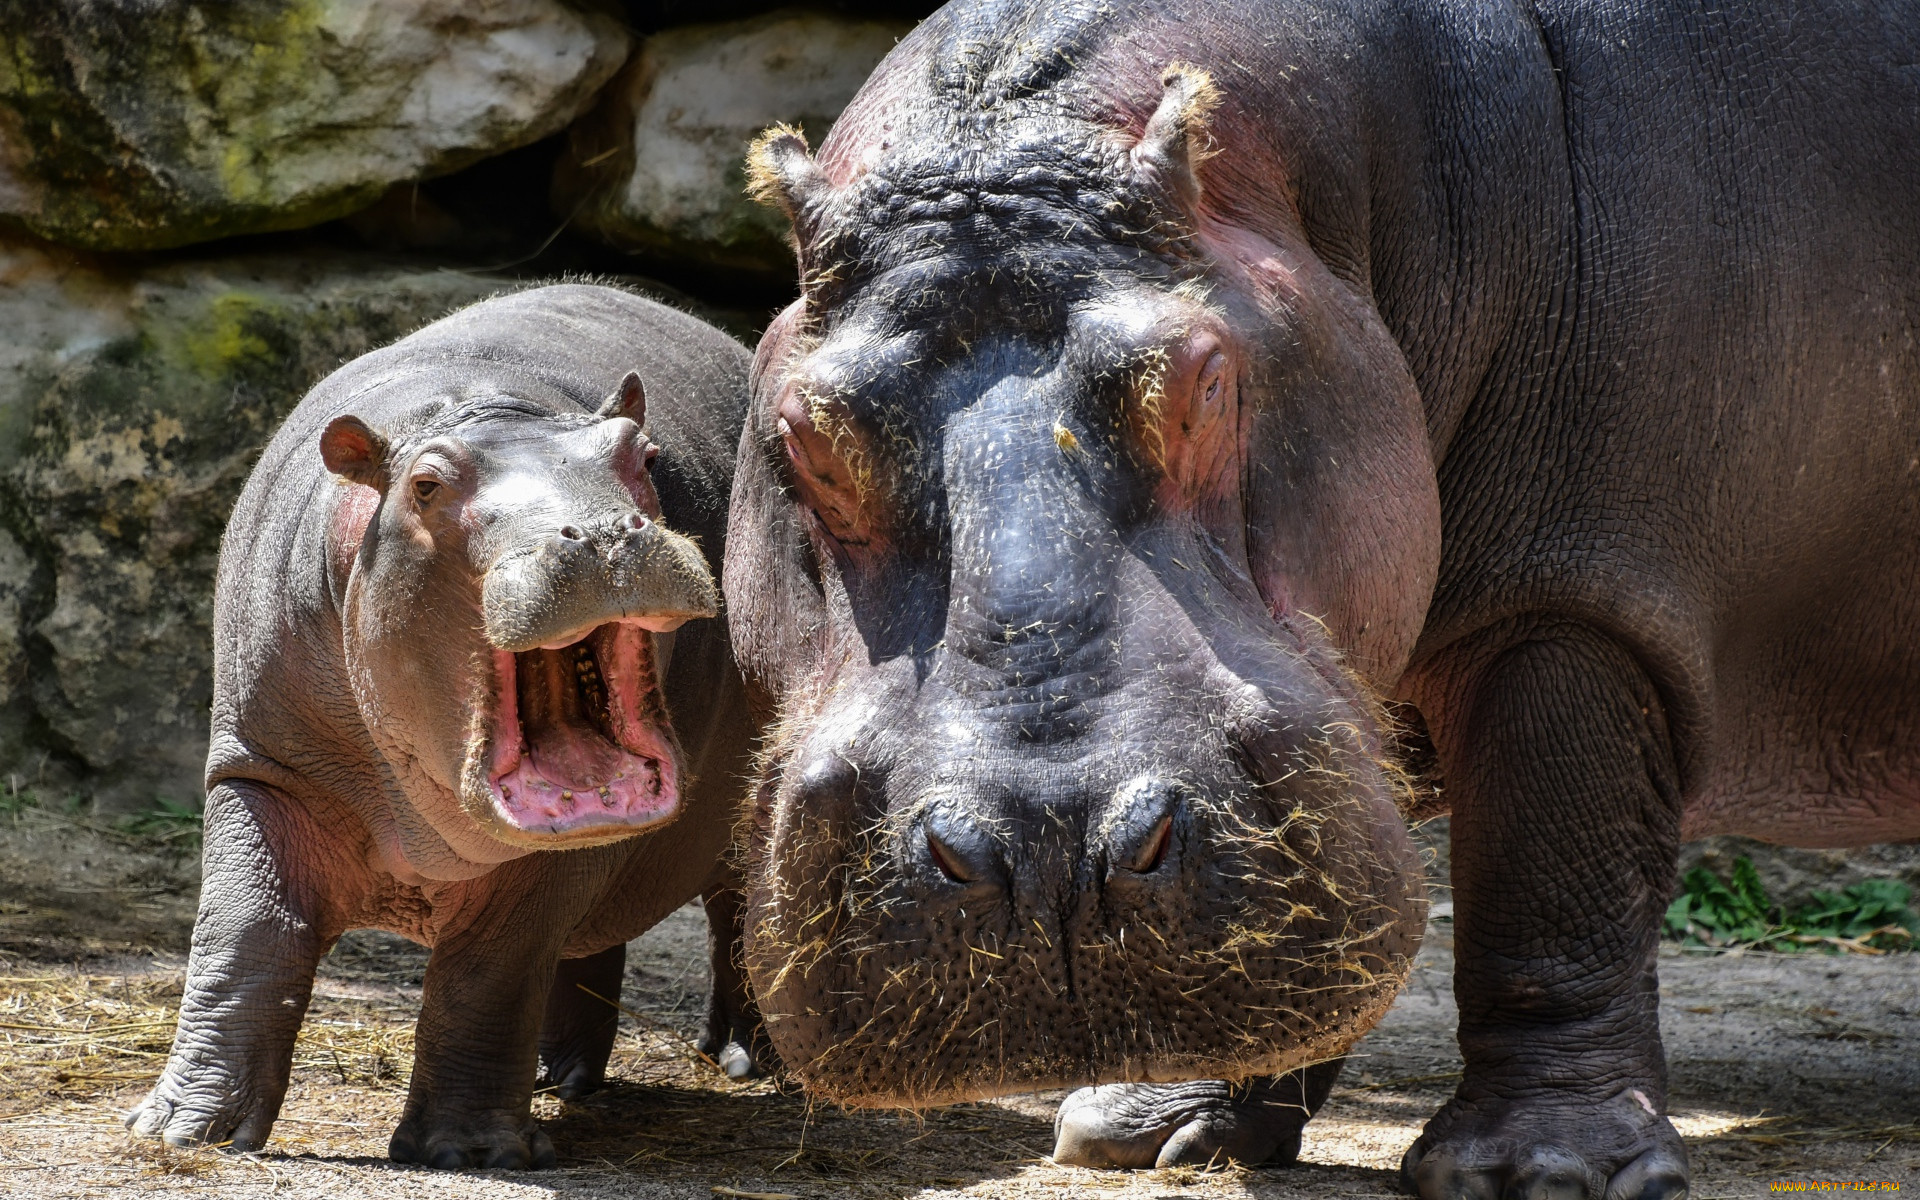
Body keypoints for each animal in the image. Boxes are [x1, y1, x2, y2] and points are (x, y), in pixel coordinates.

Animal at [123, 286, 768, 1167]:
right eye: (425, 485)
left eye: (644, 455)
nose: (605, 535)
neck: (482, 407)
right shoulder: (261, 768)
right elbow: (247, 931)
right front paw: (184, 1129)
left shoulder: (546, 867)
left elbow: (492, 971)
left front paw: (465, 1152)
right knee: (591, 945)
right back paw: (557, 1080)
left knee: (738, 905)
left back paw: (744, 1060)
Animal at [721, 0, 1920, 1190]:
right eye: (804, 431)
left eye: (1206, 379)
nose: (1048, 849)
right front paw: (1154, 1133)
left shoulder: (1577, 595)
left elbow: (1550, 883)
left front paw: (1541, 1169)